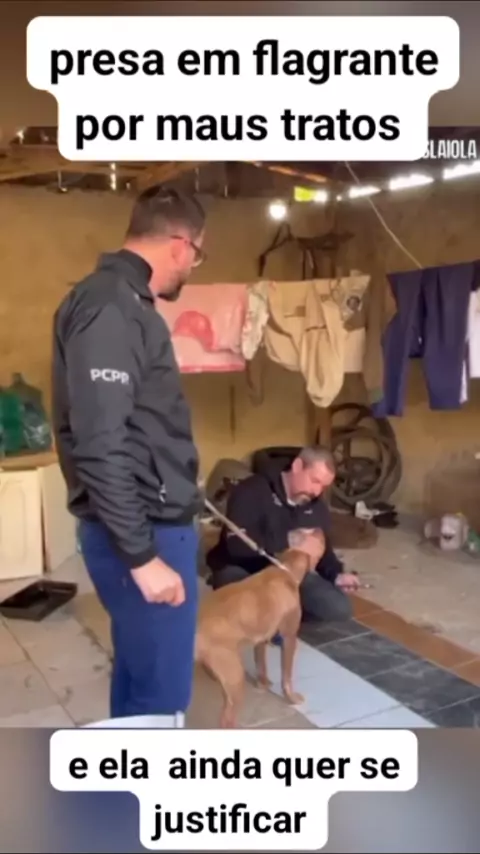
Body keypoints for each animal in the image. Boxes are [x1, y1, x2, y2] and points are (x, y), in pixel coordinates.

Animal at [194, 528, 325, 728]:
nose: (321, 529)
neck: (285, 569)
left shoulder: (262, 638)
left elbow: (261, 664)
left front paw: (262, 683)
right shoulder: (289, 637)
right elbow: (286, 676)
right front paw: (292, 698)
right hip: (235, 678)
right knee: (226, 719)